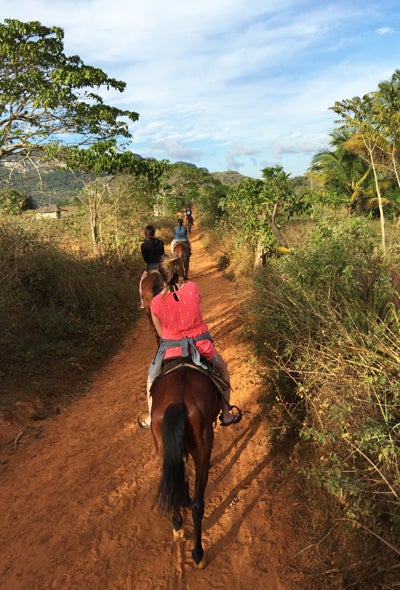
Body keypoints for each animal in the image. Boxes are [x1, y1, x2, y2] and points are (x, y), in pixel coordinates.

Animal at [149, 366, 220, 568]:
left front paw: (185, 498)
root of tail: (176, 400)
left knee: (172, 486)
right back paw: (198, 554)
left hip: (162, 448)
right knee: (198, 504)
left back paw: (178, 527)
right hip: (202, 445)